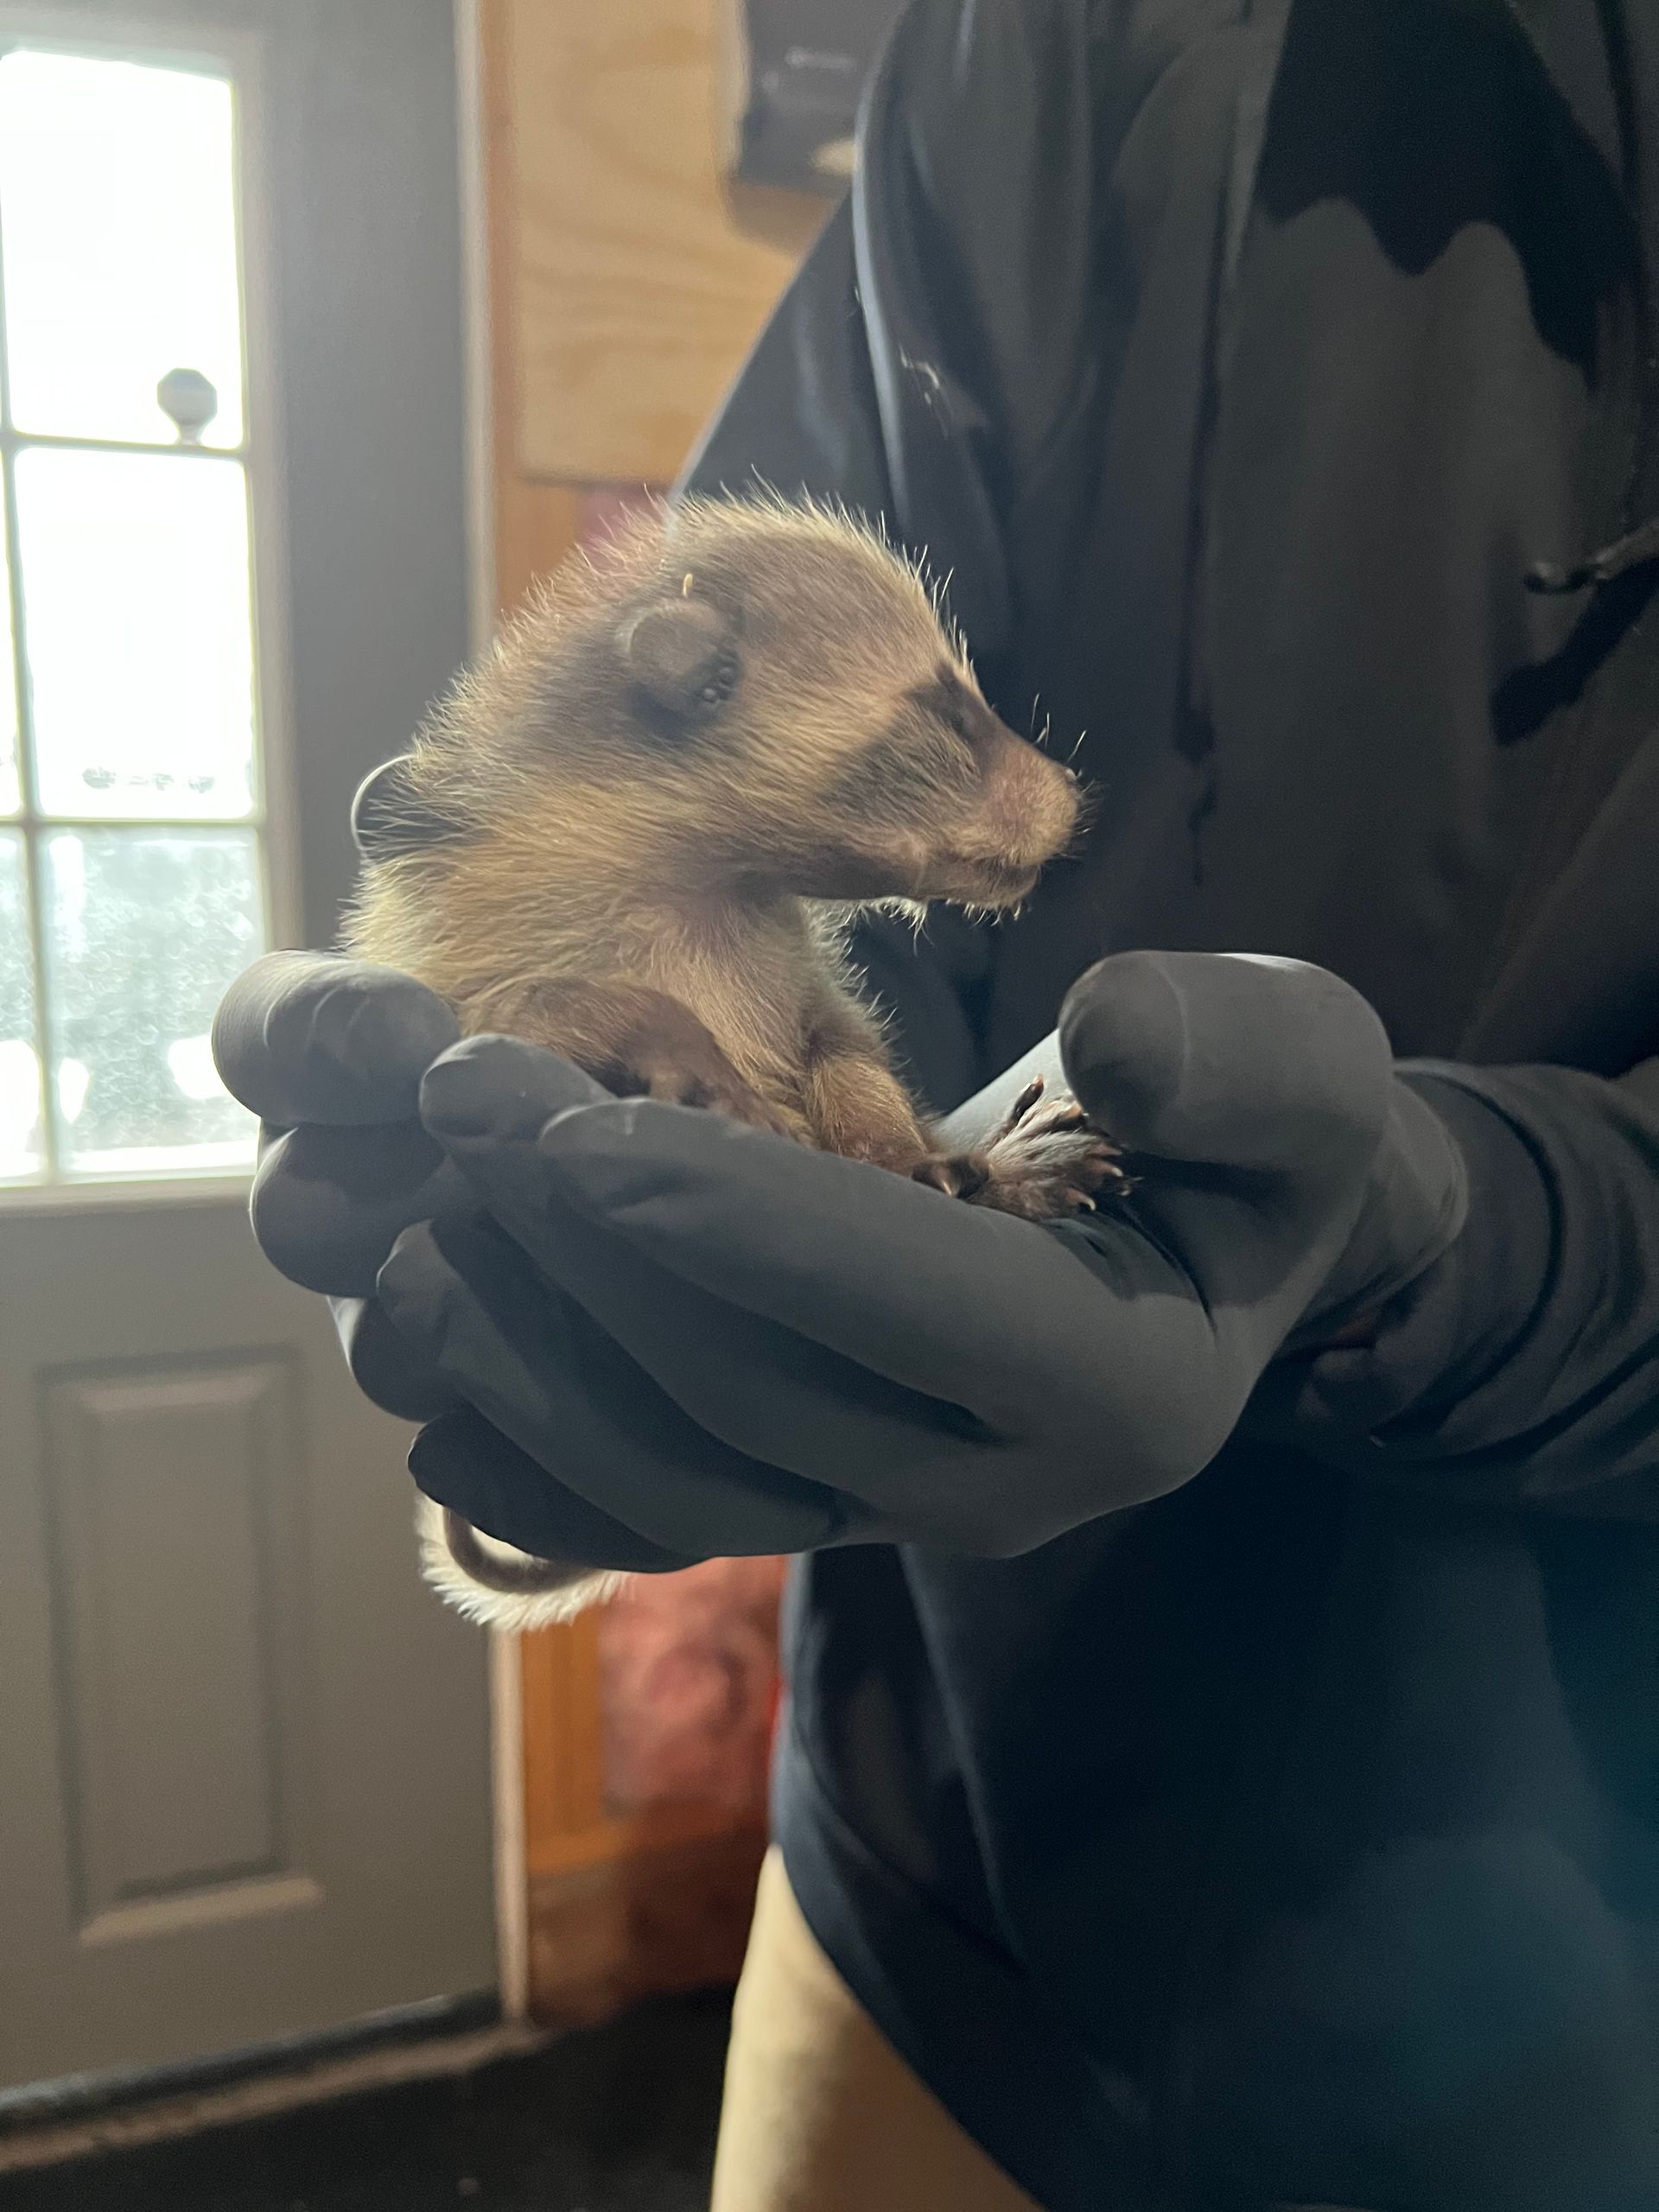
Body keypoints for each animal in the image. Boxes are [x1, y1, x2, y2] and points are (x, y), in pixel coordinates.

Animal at [356, 498, 1123, 1628]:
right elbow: (531, 1008)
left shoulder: (790, 952)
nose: (1075, 795)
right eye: (946, 709)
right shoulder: (496, 925)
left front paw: (885, 1135)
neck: (700, 861)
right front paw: (672, 1038)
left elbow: (839, 1040)